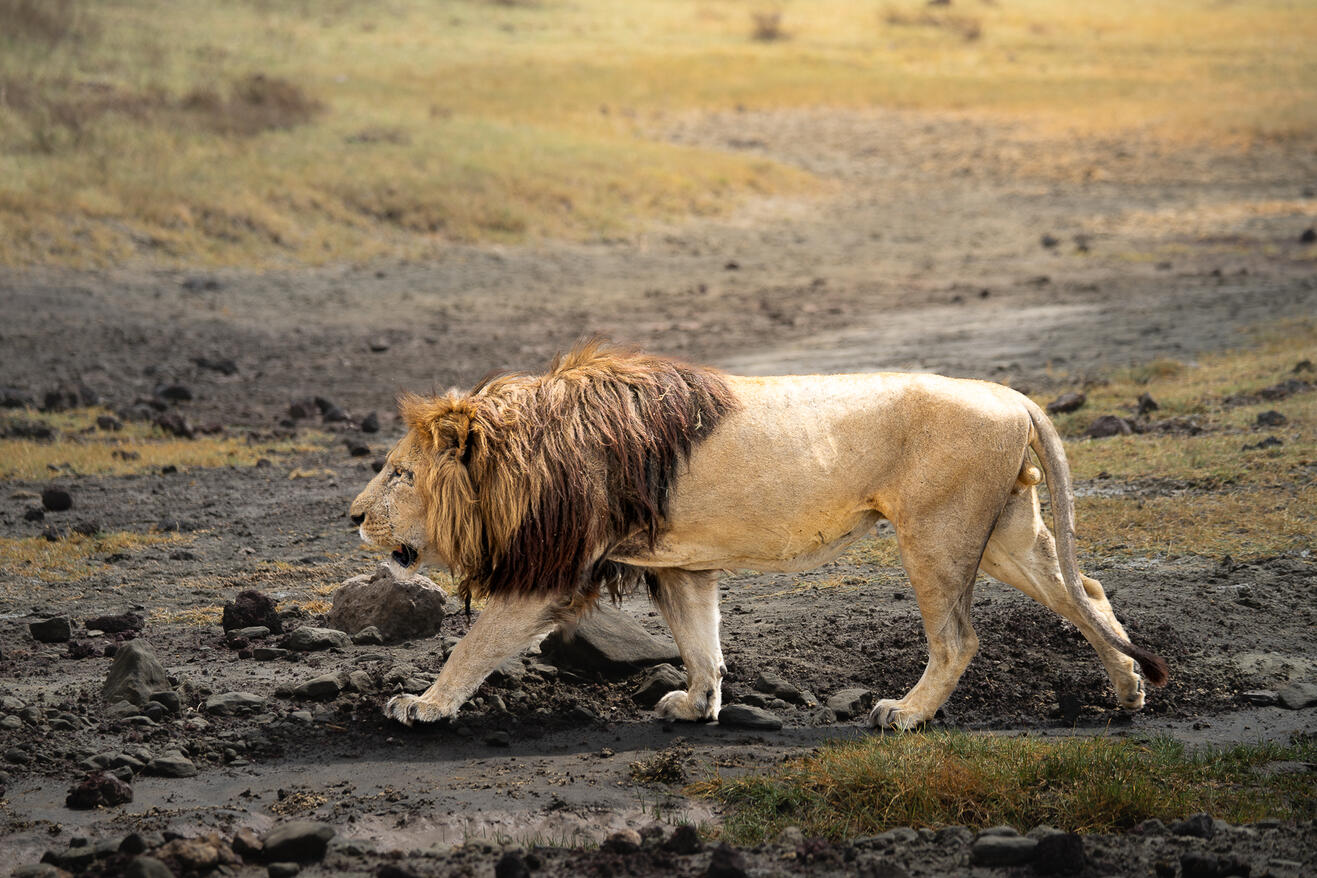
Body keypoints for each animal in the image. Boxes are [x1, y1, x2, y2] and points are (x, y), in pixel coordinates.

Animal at [349, 341, 1167, 728]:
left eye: (399, 474)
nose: (352, 517)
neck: (525, 449)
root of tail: (1010, 393)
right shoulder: (677, 562)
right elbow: (699, 640)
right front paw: (696, 705)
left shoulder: (553, 567)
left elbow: (474, 644)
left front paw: (425, 705)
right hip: (999, 535)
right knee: (1086, 591)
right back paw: (1127, 689)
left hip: (936, 534)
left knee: (960, 638)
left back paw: (905, 716)